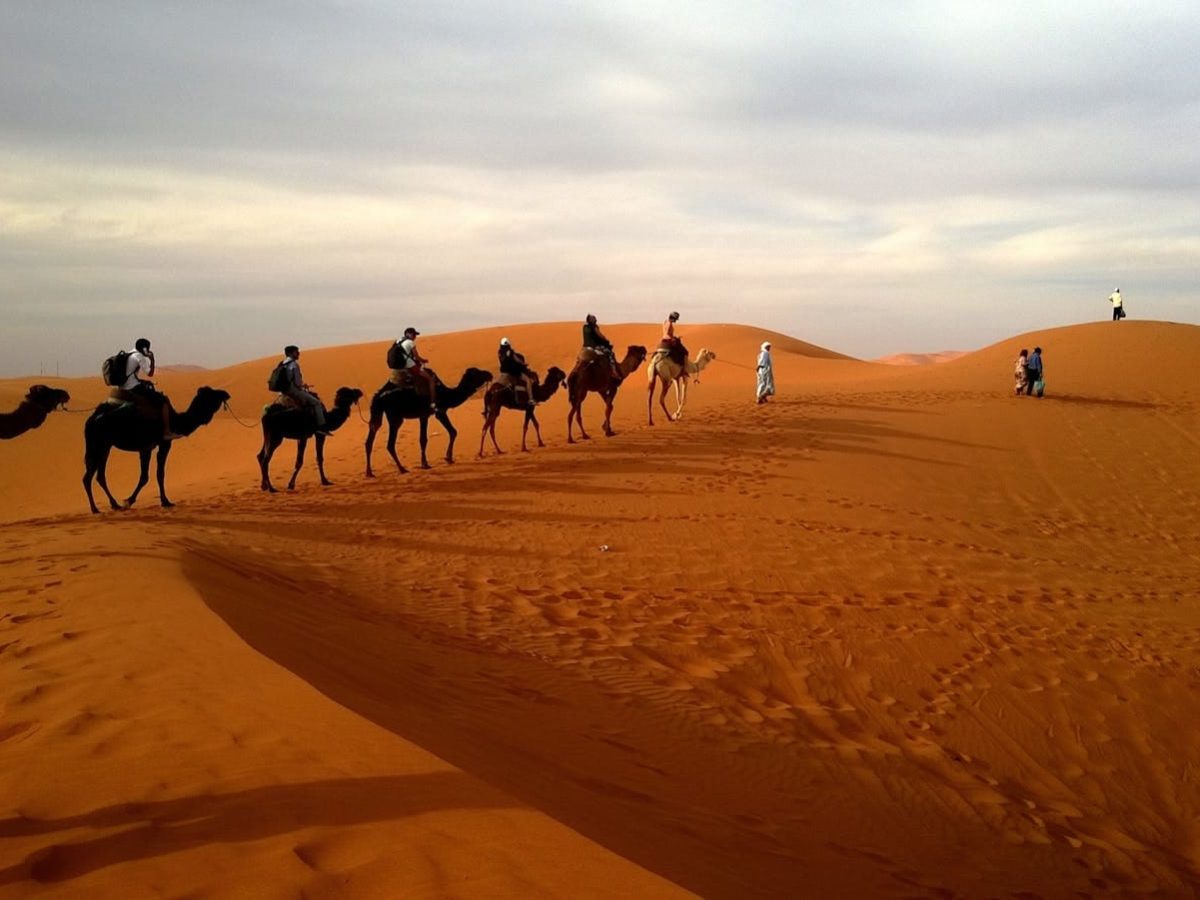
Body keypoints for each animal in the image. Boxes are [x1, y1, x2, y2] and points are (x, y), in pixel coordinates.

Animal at [82, 386, 230, 514]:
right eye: (212, 394)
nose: (226, 393)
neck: (175, 421)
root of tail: (90, 420)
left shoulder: (157, 445)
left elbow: (156, 474)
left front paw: (163, 501)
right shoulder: (152, 445)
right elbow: (148, 476)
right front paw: (130, 501)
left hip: (105, 445)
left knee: (99, 476)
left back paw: (114, 505)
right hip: (97, 445)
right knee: (88, 477)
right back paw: (95, 509)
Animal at [364, 367, 493, 477]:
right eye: (477, 373)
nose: (489, 374)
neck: (445, 394)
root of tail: (379, 396)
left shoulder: (425, 415)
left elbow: (429, 438)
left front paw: (439, 460)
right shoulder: (437, 412)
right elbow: (447, 433)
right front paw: (441, 460)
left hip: (378, 414)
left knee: (370, 439)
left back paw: (369, 472)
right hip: (395, 417)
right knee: (390, 444)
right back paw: (402, 469)